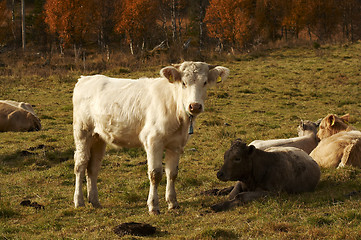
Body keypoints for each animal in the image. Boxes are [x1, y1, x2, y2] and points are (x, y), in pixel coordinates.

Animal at [72, 61, 229, 215]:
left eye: (205, 82)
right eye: (184, 83)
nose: (195, 106)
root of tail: (85, 78)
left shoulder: (176, 144)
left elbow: (172, 173)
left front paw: (173, 203)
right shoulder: (153, 141)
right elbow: (155, 174)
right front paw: (153, 206)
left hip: (98, 137)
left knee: (93, 167)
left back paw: (95, 201)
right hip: (82, 132)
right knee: (81, 164)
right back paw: (79, 201)